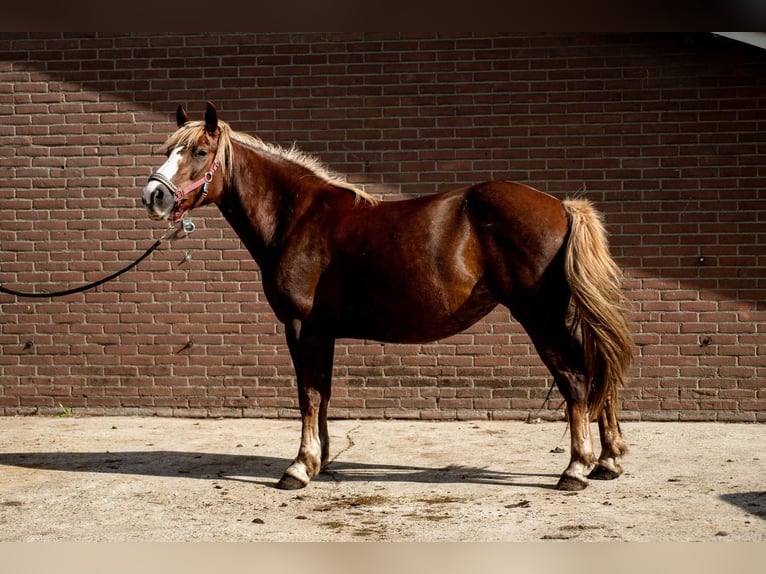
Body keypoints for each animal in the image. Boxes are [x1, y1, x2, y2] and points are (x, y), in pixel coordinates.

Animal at [141, 102, 633, 492]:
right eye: (168, 151)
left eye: (199, 152)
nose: (154, 196)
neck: (296, 216)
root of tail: (562, 206)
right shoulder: (323, 331)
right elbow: (323, 391)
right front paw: (319, 460)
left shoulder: (301, 326)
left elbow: (308, 394)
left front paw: (299, 467)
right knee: (597, 369)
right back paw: (607, 461)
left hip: (539, 317)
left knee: (576, 378)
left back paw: (576, 468)